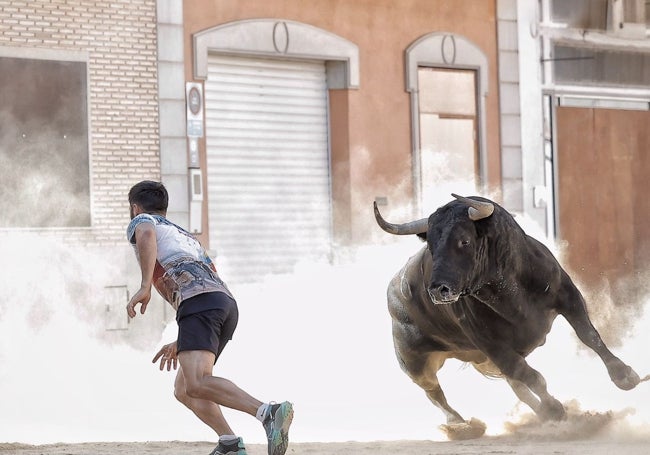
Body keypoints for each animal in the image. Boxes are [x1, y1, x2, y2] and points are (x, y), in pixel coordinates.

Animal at [372, 194, 640, 440]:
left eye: (464, 240)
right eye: (431, 246)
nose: (438, 290)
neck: (509, 293)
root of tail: (393, 289)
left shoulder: (568, 296)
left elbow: (589, 336)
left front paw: (625, 375)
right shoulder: (493, 346)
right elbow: (532, 376)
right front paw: (554, 408)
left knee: (516, 385)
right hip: (414, 363)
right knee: (435, 393)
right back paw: (462, 426)